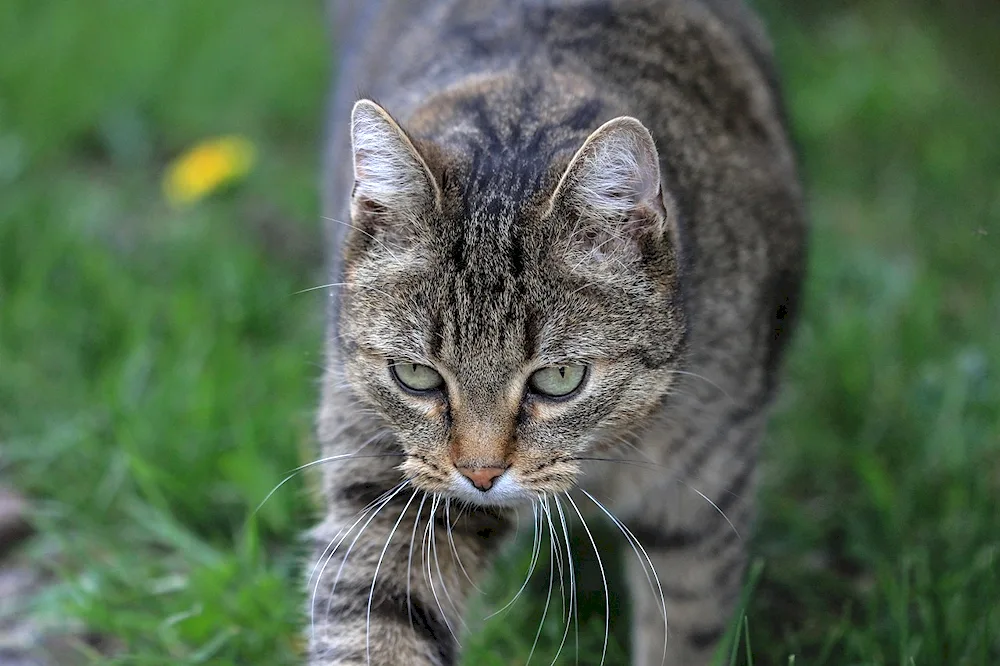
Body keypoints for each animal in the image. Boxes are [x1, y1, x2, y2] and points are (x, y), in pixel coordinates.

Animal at [310, 1, 804, 664]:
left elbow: (686, 627)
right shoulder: (390, 490)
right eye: (415, 375)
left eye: (560, 378)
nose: (481, 475)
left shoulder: (701, 503)